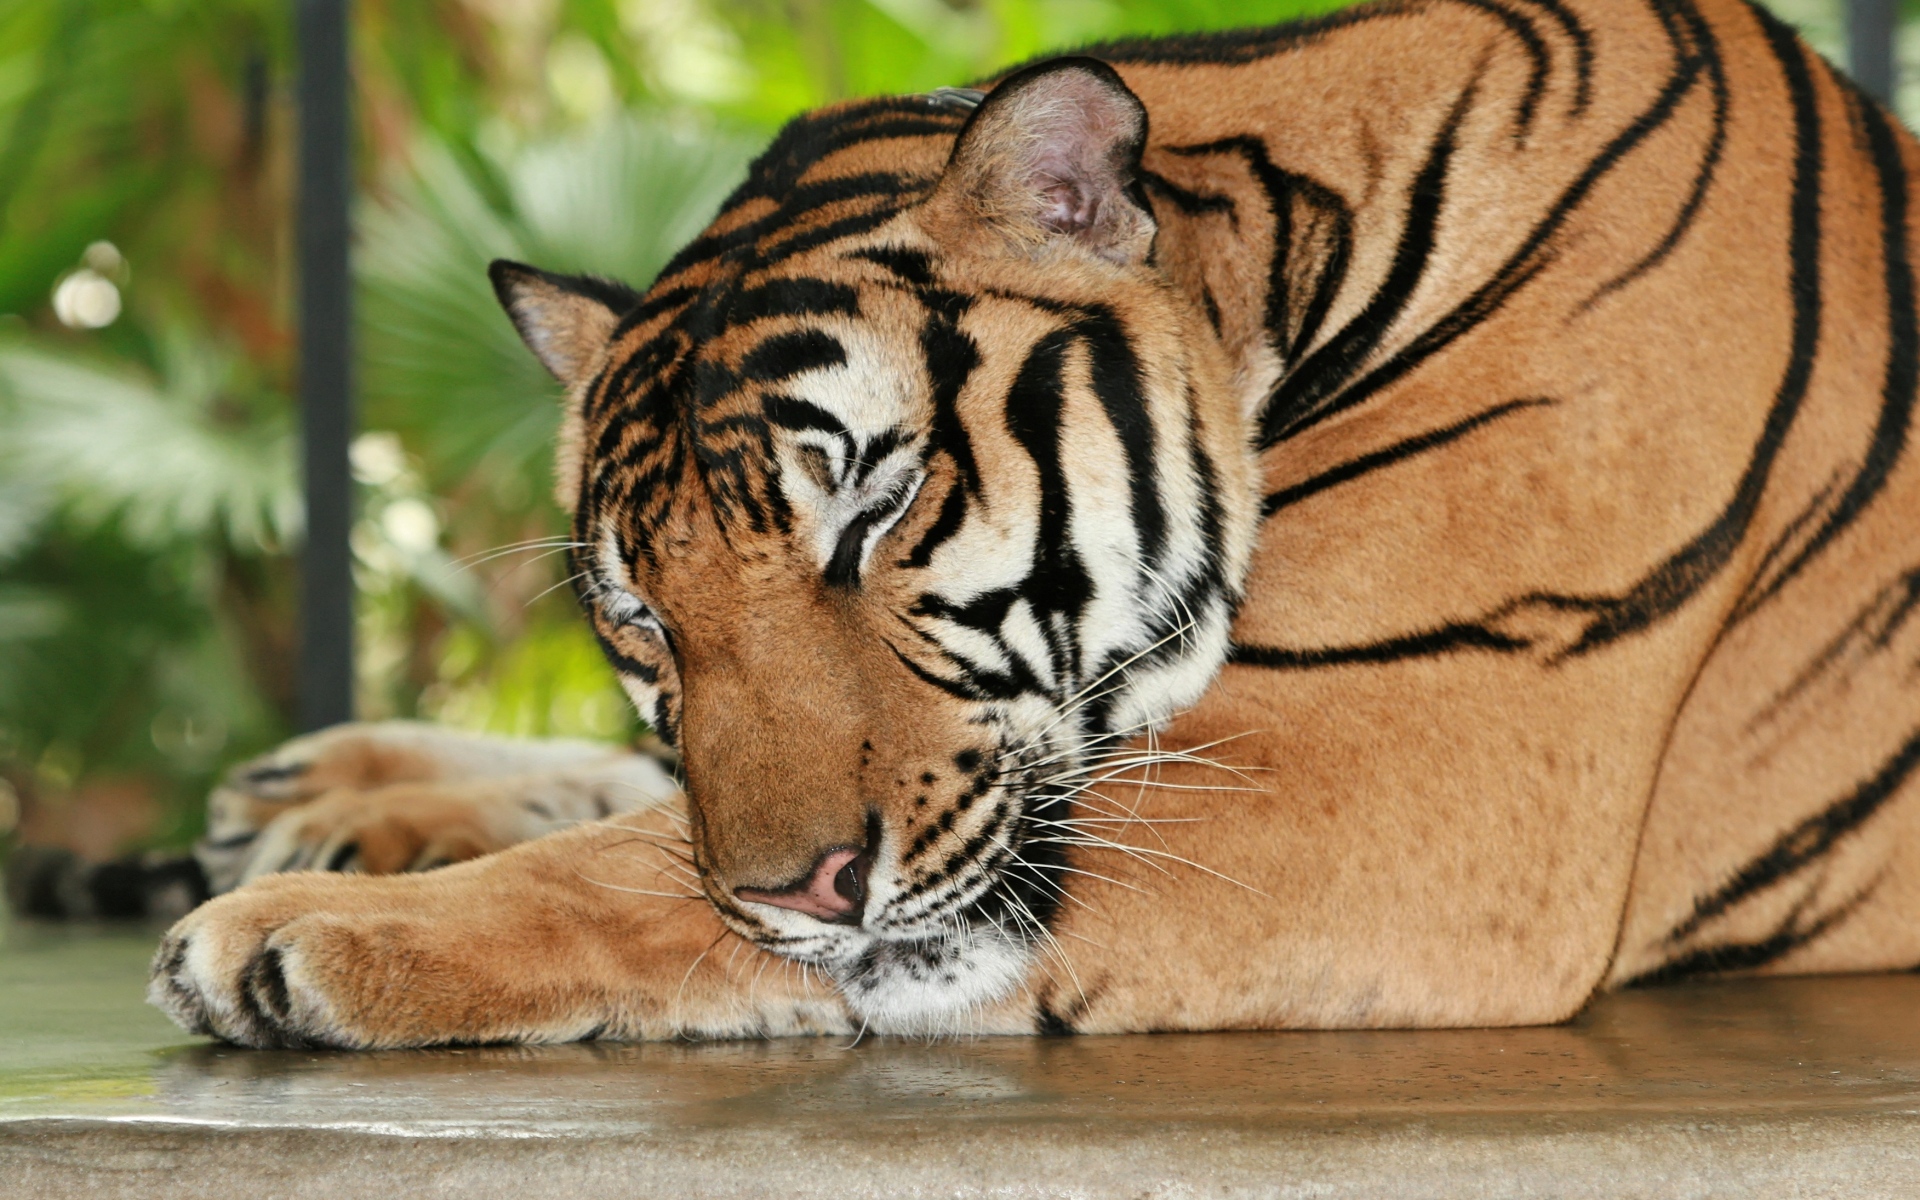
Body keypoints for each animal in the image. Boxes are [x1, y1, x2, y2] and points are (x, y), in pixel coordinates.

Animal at [140, 0, 1920, 1049]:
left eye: (874, 506)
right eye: (642, 619)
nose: (808, 894)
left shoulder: (1398, 770)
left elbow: (635, 868)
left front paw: (296, 936)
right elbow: (654, 812)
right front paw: (339, 832)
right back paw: (314, 786)